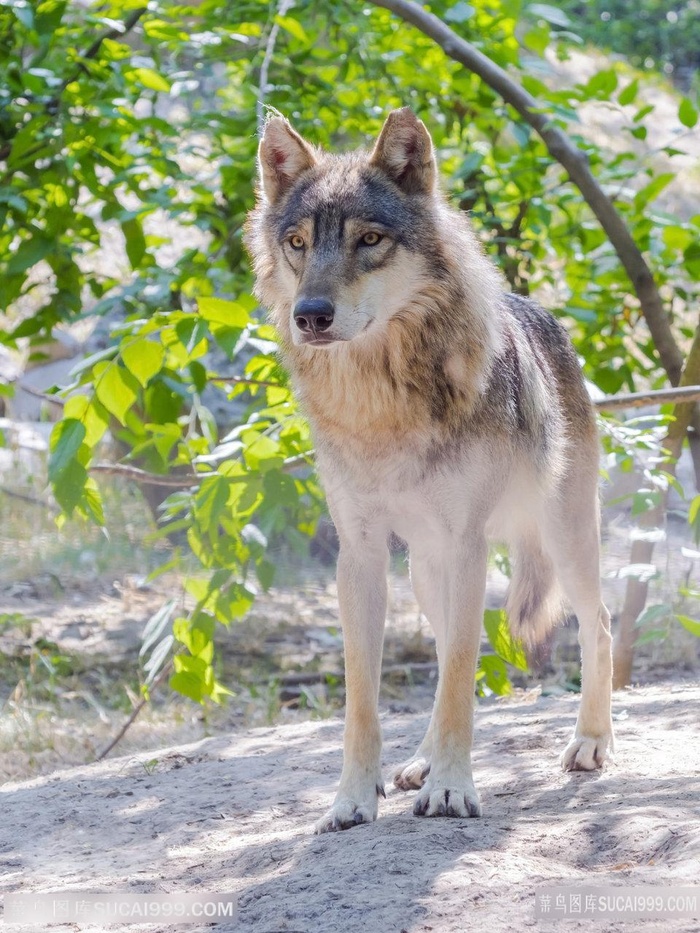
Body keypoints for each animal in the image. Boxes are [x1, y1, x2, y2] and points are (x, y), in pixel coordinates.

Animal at [245, 107, 612, 832]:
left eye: (369, 239)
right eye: (298, 242)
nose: (310, 316)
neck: (382, 407)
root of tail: (540, 310)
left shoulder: (467, 544)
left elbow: (464, 677)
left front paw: (451, 788)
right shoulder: (359, 554)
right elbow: (366, 696)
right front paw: (352, 799)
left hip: (561, 542)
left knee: (598, 626)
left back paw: (589, 742)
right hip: (423, 570)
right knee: (443, 660)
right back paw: (417, 761)